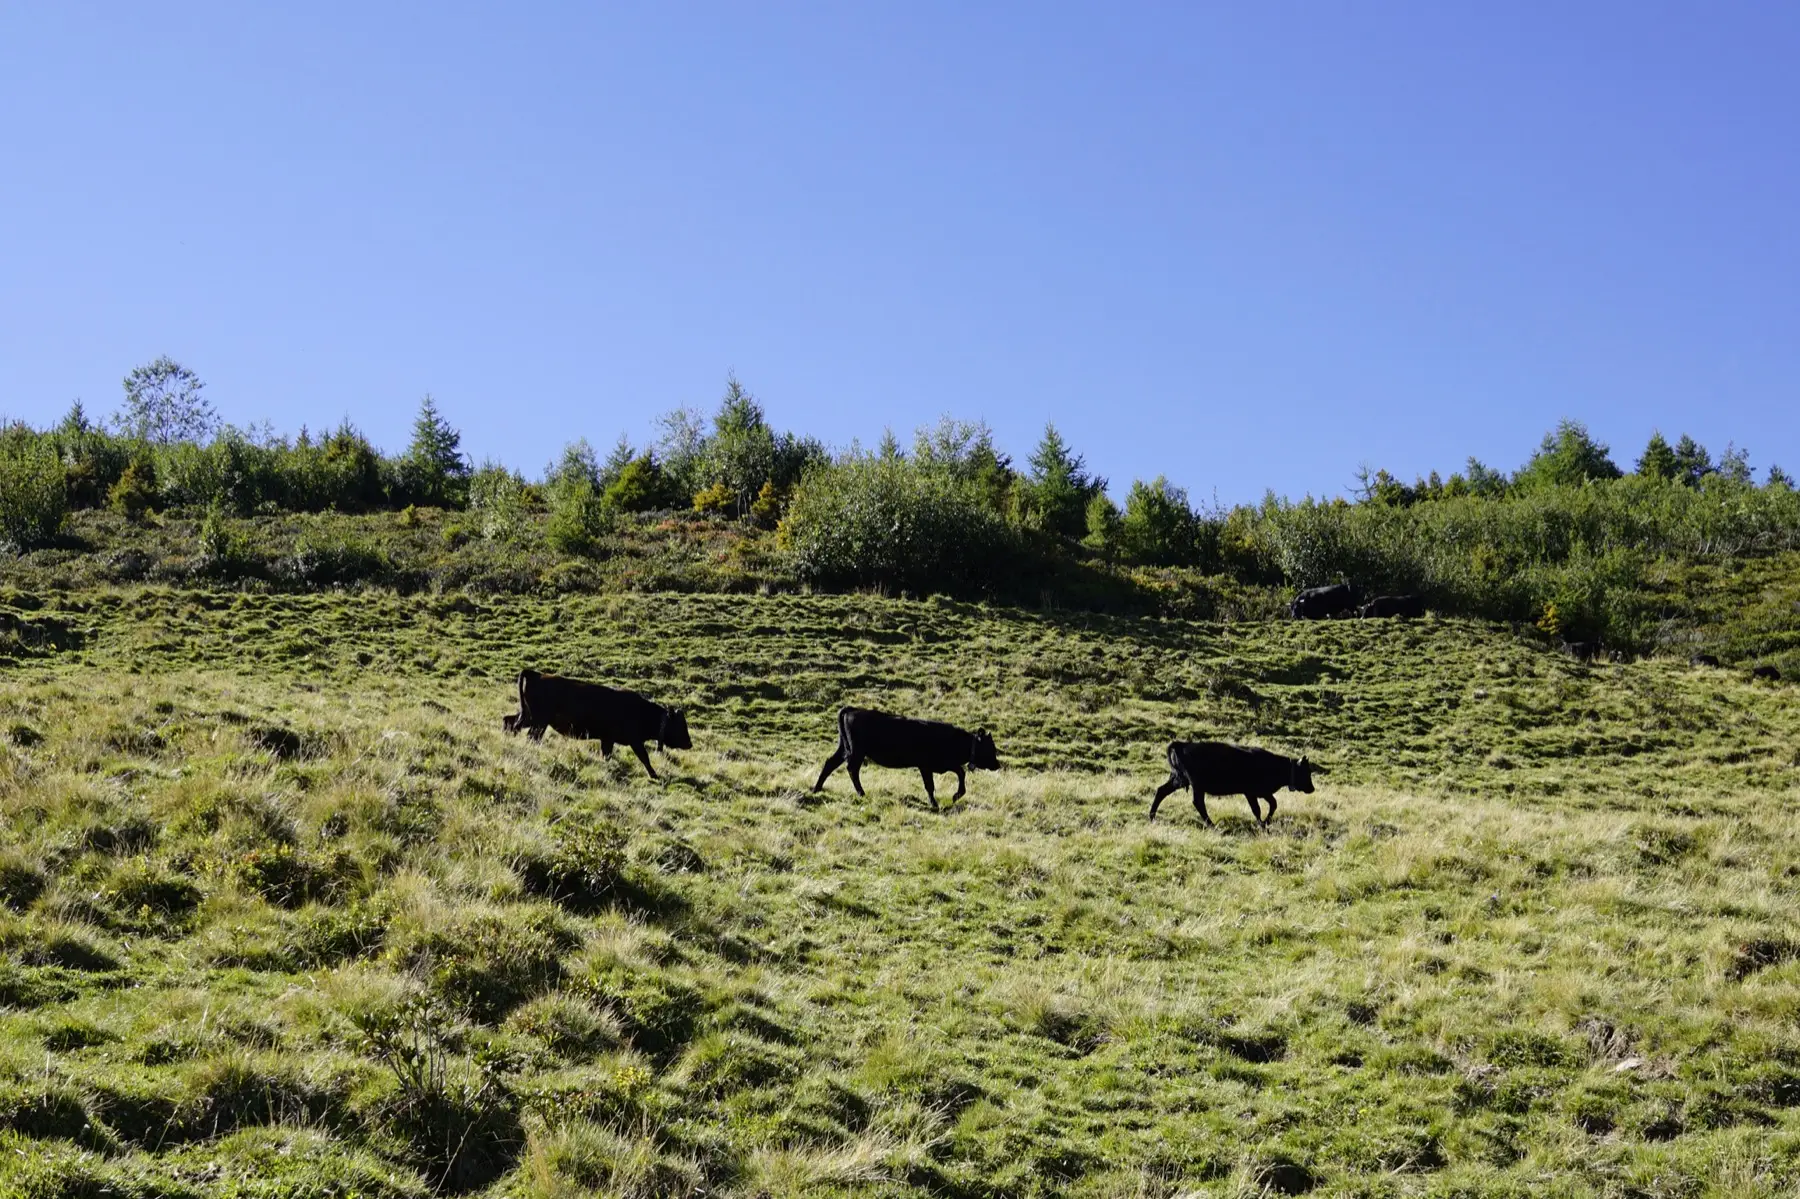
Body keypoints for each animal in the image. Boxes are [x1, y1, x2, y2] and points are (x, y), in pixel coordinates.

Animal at [514, 662, 702, 774]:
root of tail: (537, 674)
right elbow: (644, 757)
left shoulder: (608, 740)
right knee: (531, 736)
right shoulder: (634, 741)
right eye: (679, 725)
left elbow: (607, 754)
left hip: (531, 719)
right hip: (539, 722)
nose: (689, 743)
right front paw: (654, 775)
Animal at [817, 705, 1000, 806]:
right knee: (852, 769)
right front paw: (936, 803)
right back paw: (861, 793)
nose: (997, 765)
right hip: (857, 752)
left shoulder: (942, 765)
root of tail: (852, 709)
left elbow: (960, 773)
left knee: (830, 763)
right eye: (989, 747)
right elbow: (931, 785)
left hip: (844, 748)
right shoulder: (926, 766)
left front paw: (955, 796)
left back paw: (816, 789)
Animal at [1152, 738, 1324, 820]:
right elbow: (1257, 809)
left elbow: (1273, 804)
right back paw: (1211, 825)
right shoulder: (1250, 792)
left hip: (1179, 780)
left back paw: (1152, 816)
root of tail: (1183, 744)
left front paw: (1266, 822)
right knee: (1198, 803)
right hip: (1196, 785)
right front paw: (1262, 824)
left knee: (1161, 791)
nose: (1312, 788)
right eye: (1306, 772)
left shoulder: (1263, 792)